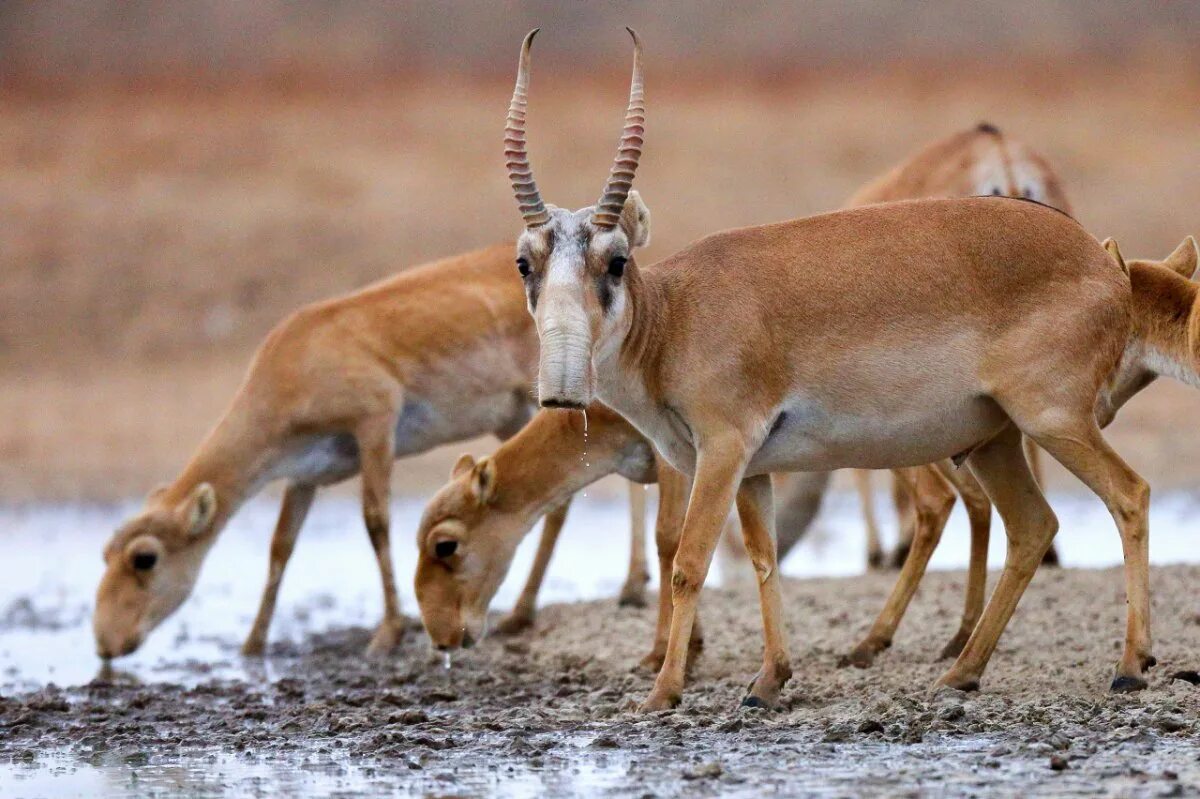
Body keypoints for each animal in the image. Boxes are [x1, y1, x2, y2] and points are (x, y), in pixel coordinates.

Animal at [91, 242, 657, 657]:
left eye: (144, 558)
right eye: (105, 552)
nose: (104, 645)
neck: (293, 362)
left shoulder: (375, 425)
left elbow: (376, 520)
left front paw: (388, 631)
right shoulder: (304, 475)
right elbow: (281, 546)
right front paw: (252, 644)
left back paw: (597, 594)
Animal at [501, 29, 1147, 710]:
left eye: (617, 260)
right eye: (525, 262)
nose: (563, 389)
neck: (674, 318)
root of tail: (1106, 263)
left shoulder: (722, 452)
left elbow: (689, 562)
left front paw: (663, 692)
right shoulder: (754, 470)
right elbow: (764, 559)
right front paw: (768, 681)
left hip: (1053, 422)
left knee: (1128, 495)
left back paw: (1129, 666)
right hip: (993, 440)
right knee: (1032, 527)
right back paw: (960, 671)